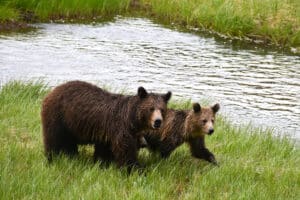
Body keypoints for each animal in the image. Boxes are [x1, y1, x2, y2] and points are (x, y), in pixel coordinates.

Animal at [41, 80, 171, 171]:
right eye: (151, 108)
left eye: (162, 109)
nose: (158, 121)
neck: (132, 120)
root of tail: (52, 91)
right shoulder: (120, 128)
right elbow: (126, 151)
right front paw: (136, 169)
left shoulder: (106, 133)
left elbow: (103, 151)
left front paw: (102, 163)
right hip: (58, 117)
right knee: (53, 139)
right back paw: (51, 158)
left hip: (70, 125)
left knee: (69, 143)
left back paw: (71, 156)